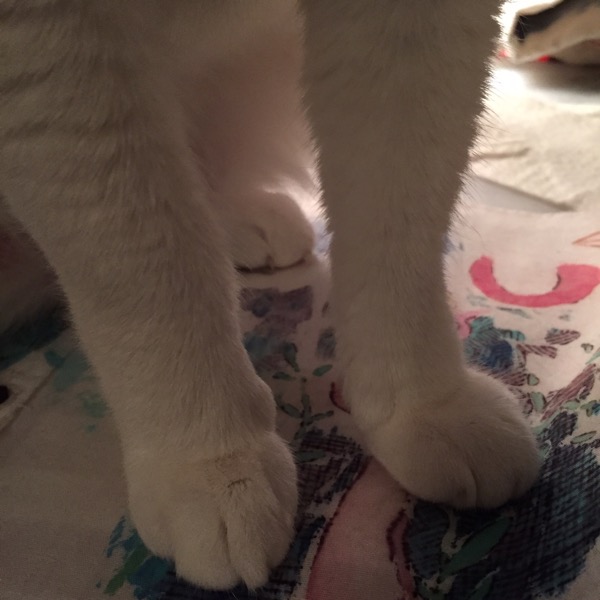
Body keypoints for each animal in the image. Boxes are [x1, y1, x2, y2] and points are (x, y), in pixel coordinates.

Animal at [0, 0, 541, 591]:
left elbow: (397, 237)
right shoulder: (48, 49)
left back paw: (236, 221)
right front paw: (208, 460)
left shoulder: (412, 30)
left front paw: (427, 404)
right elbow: (147, 265)